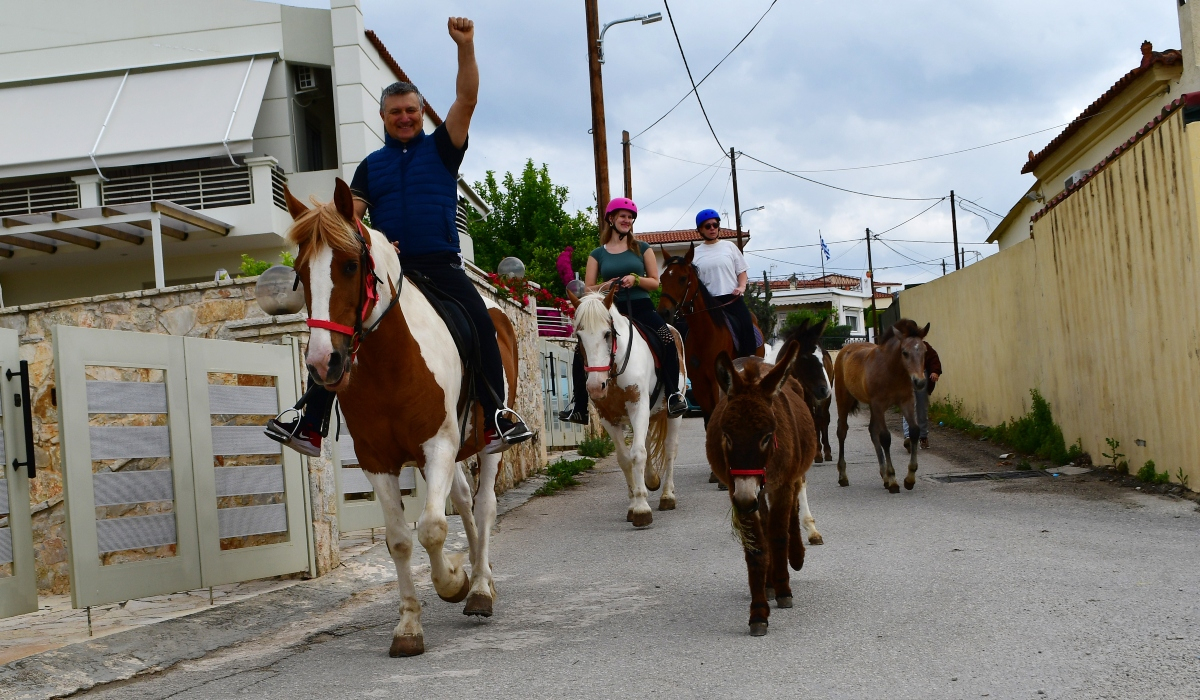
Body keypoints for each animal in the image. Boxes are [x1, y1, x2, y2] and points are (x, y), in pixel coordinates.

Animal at [290, 178, 520, 657]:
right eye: (300, 272)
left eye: (350, 266)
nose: (323, 363)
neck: (389, 363)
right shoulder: (377, 459)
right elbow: (399, 540)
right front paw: (410, 625)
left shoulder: (437, 446)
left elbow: (431, 528)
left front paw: (453, 583)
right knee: (465, 504)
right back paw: (479, 575)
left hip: (487, 443)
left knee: (484, 506)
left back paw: (480, 587)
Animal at [571, 288, 686, 523]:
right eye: (579, 336)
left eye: (607, 333)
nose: (595, 386)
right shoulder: (607, 417)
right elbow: (625, 458)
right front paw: (634, 504)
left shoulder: (637, 406)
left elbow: (638, 454)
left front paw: (642, 508)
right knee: (648, 442)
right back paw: (652, 479)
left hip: (672, 413)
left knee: (670, 448)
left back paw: (667, 495)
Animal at [700, 336, 825, 638]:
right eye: (726, 436)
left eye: (767, 436)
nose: (747, 499)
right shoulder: (738, 490)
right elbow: (757, 546)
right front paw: (758, 612)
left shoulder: (780, 486)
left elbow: (778, 536)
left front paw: (784, 589)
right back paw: (770, 582)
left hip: (788, 478)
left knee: (790, 514)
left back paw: (795, 558)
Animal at [835, 319, 926, 492]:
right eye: (905, 352)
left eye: (925, 351)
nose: (920, 382)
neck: (892, 370)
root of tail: (846, 349)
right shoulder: (879, 404)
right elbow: (885, 437)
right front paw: (893, 479)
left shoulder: (906, 401)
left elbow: (914, 430)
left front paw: (909, 478)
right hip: (844, 399)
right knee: (842, 431)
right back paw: (843, 476)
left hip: (871, 406)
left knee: (872, 430)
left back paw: (883, 476)